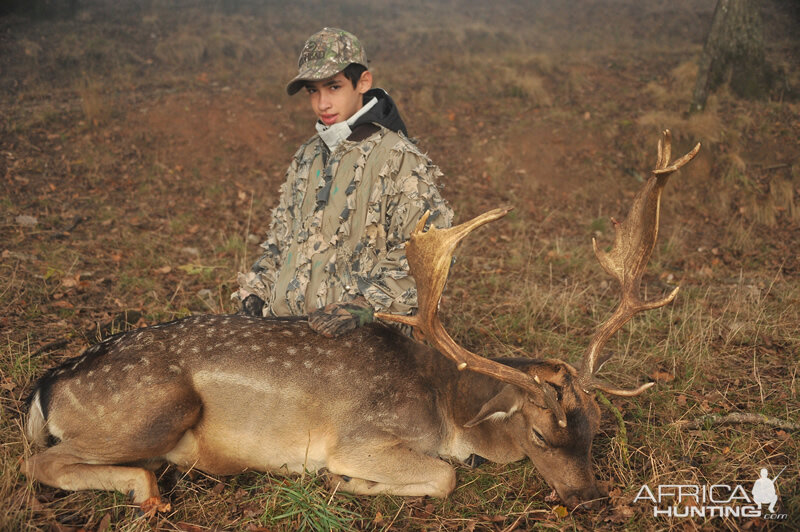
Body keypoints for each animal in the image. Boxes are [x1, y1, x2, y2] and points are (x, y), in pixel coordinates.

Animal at [20, 131, 700, 512]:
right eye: (538, 432)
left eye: (595, 428)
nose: (591, 500)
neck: (447, 404)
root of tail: (45, 386)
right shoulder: (362, 435)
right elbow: (444, 475)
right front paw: (351, 487)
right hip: (149, 406)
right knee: (41, 463)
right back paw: (147, 490)